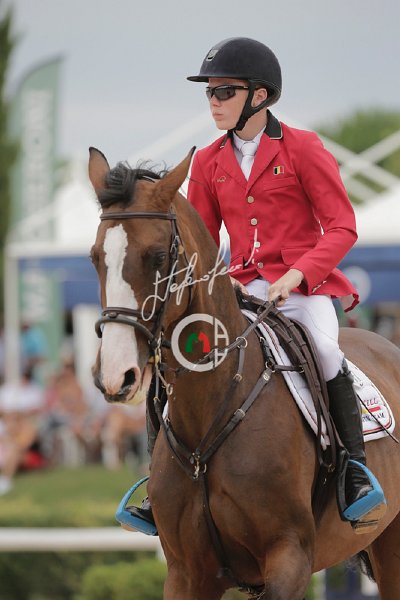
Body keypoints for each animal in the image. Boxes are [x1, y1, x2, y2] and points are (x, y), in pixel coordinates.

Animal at [89, 146, 400, 600]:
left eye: (158, 257)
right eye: (95, 257)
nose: (116, 374)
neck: (211, 410)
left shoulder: (289, 559)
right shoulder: (186, 574)